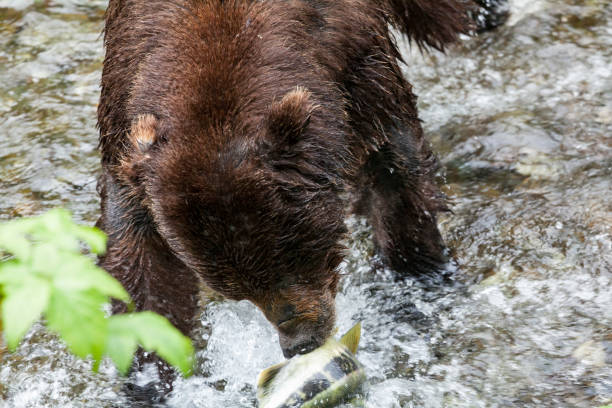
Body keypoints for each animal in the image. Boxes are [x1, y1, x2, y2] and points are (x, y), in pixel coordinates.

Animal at [94, 0, 506, 402]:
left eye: (297, 259)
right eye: (237, 290)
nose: (299, 344)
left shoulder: (355, 68)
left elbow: (393, 168)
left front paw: (419, 282)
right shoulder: (126, 124)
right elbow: (142, 264)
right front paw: (147, 375)